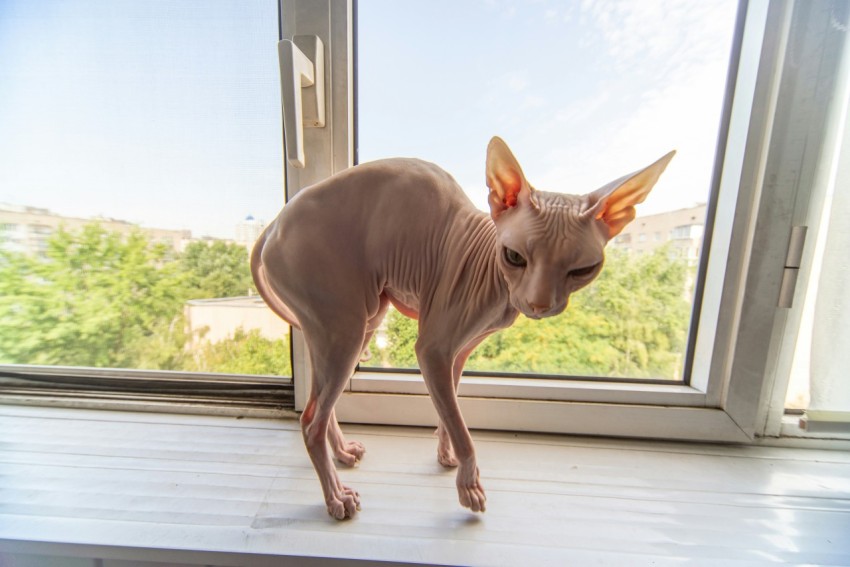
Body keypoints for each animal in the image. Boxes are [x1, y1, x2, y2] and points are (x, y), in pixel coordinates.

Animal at [248, 136, 672, 520]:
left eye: (583, 270)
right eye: (514, 256)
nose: (538, 304)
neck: (495, 281)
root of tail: (274, 224)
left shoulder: (459, 352)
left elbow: (448, 409)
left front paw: (445, 454)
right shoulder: (432, 350)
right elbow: (461, 425)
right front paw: (469, 487)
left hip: (349, 320)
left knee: (320, 402)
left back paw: (341, 453)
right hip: (346, 325)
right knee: (310, 421)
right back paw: (337, 498)